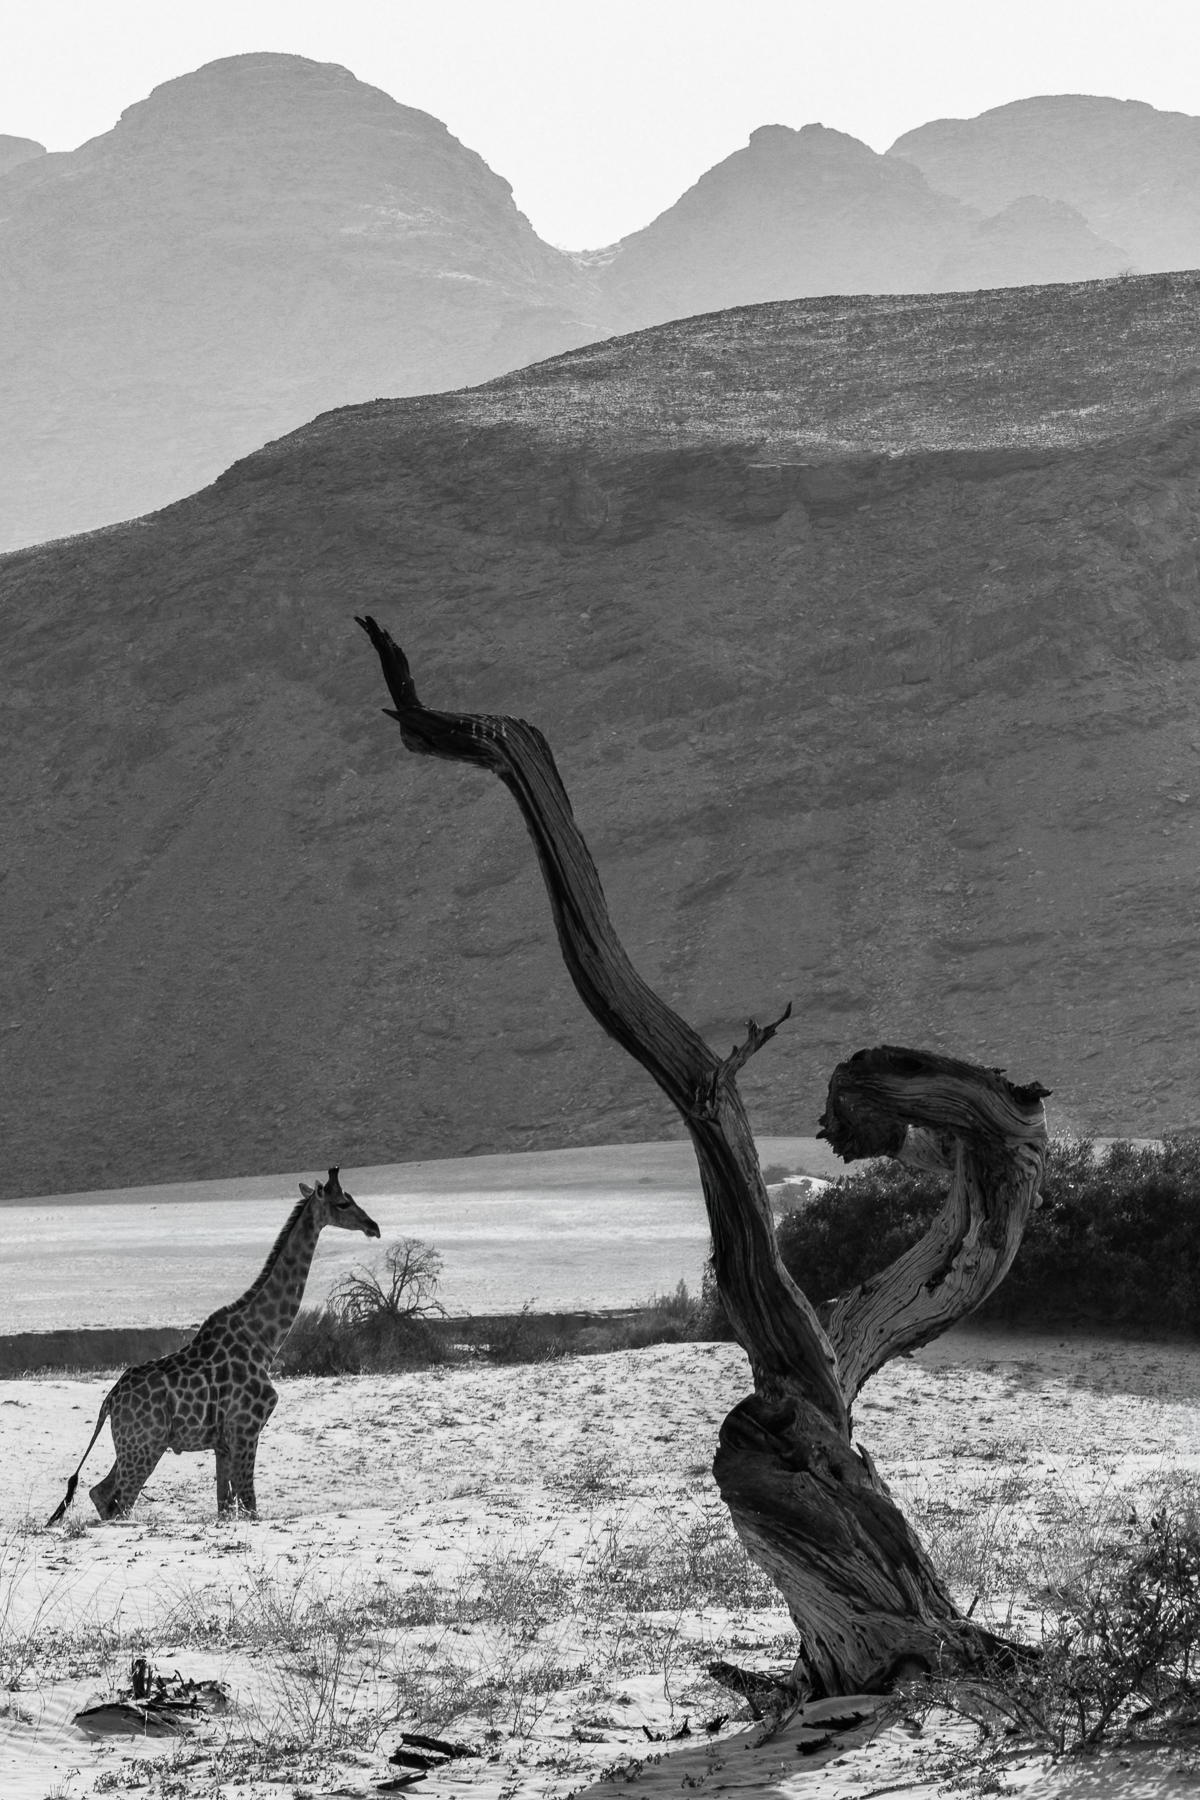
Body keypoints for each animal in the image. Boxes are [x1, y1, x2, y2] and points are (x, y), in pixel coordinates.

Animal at [47, 1167, 380, 1523]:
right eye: (343, 1203)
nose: (373, 1227)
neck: (263, 1342)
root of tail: (110, 1400)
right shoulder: (246, 1429)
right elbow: (249, 1503)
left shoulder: (223, 1443)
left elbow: (225, 1505)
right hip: (145, 1446)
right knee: (119, 1500)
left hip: (134, 1446)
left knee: (101, 1493)